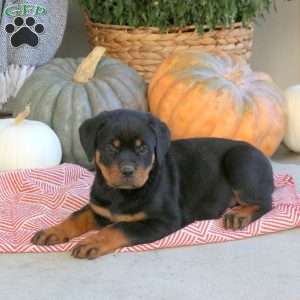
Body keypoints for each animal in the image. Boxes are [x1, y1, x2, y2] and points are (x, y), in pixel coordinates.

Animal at [31, 109, 274, 258]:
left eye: (142, 148)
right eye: (111, 147)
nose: (127, 171)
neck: (119, 194)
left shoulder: (163, 220)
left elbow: (119, 227)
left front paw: (92, 242)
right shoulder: (99, 208)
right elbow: (76, 216)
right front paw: (52, 231)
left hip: (240, 160)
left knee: (265, 202)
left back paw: (239, 215)